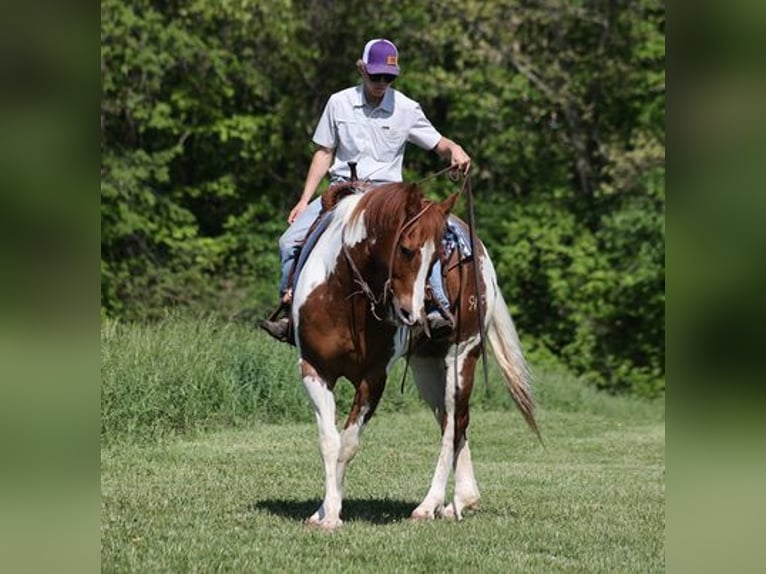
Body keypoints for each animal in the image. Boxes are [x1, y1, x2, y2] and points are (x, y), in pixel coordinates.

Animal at [290, 182, 540, 532]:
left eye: (437, 257)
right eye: (406, 249)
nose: (414, 313)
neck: (344, 298)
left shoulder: (373, 378)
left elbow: (348, 444)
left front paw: (333, 514)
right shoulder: (314, 369)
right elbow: (330, 442)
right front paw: (325, 510)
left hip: (461, 358)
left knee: (452, 426)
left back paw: (429, 505)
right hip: (427, 369)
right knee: (455, 421)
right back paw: (460, 501)